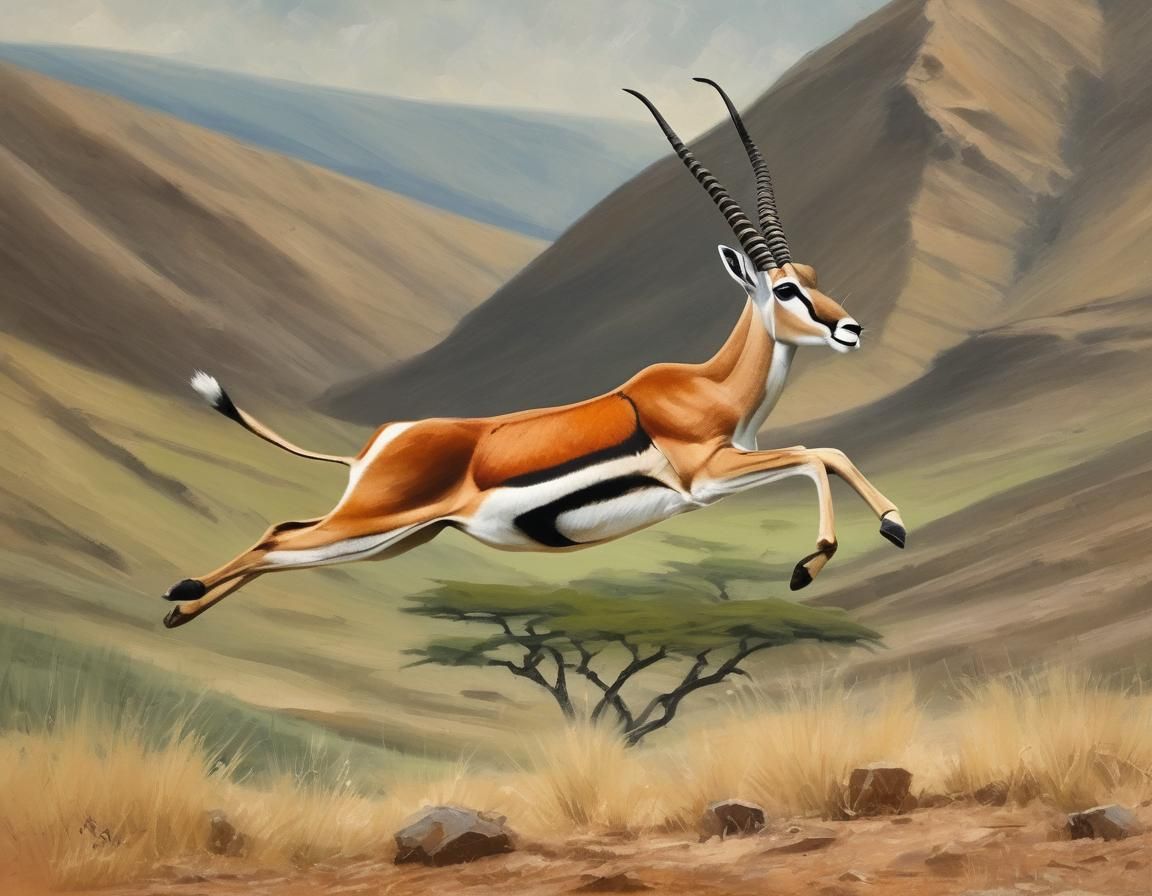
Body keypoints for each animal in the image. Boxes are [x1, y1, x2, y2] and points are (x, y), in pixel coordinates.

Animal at [162, 79, 906, 629]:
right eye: (783, 289)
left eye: (812, 274)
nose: (851, 329)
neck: (711, 388)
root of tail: (374, 446)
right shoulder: (708, 478)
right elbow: (815, 454)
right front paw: (811, 564)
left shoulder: (729, 470)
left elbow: (829, 452)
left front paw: (893, 529)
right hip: (371, 524)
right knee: (276, 539)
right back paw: (181, 590)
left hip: (393, 537)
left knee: (280, 539)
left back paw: (181, 609)